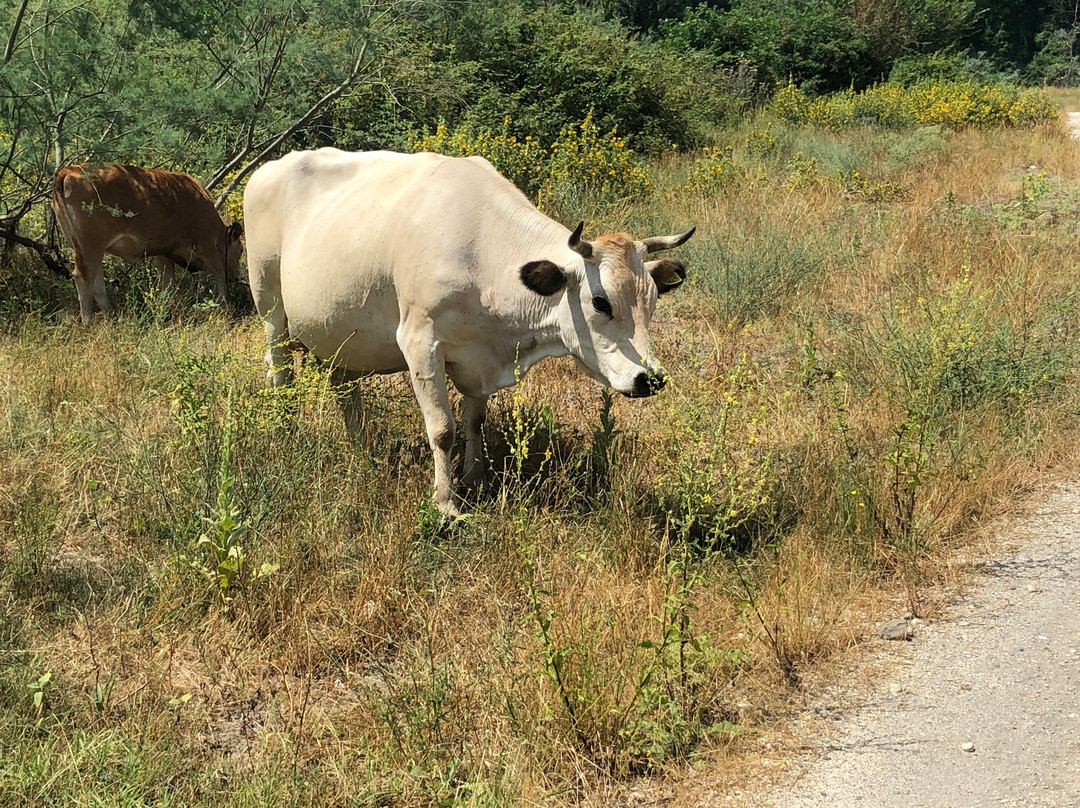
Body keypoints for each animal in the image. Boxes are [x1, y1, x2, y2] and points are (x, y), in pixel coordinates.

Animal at [51, 162, 244, 324]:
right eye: (241, 250)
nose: (237, 276)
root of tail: (69, 170)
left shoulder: (164, 252)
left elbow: (167, 284)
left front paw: (165, 312)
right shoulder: (206, 244)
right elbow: (218, 272)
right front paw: (227, 304)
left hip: (86, 249)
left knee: (97, 284)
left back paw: (112, 316)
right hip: (91, 248)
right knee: (84, 279)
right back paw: (88, 323)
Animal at [245, 147, 691, 514]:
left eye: (653, 299)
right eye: (600, 302)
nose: (650, 378)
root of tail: (267, 168)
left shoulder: (478, 354)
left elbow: (474, 420)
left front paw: (475, 479)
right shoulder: (420, 342)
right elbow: (443, 429)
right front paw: (447, 504)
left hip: (338, 333)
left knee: (344, 390)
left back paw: (362, 451)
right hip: (270, 307)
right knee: (279, 373)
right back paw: (285, 432)